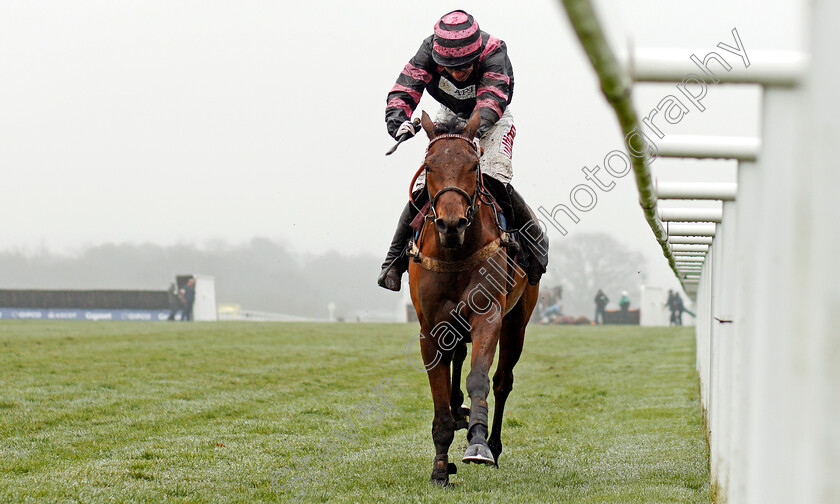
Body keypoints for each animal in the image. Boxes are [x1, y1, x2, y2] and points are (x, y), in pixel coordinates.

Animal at [410, 109, 540, 484]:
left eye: (472, 166)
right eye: (429, 166)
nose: (451, 224)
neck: (455, 252)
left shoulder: (488, 316)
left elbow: (479, 377)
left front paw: (478, 443)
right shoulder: (430, 329)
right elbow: (439, 397)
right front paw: (441, 466)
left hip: (517, 322)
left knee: (502, 381)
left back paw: (492, 444)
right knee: (457, 360)